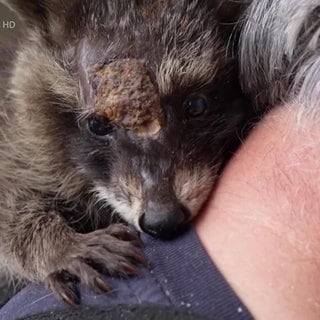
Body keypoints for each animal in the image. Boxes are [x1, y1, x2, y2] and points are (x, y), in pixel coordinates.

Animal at [0, 0, 250, 304]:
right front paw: (58, 245)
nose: (162, 220)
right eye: (97, 125)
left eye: (197, 105)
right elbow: (8, 201)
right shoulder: (22, 139)